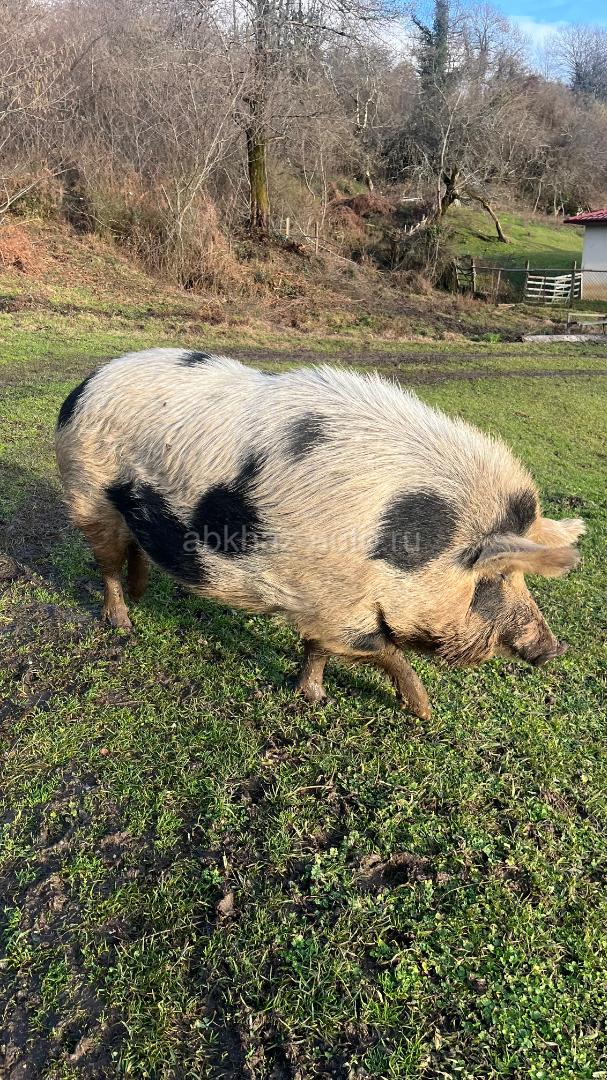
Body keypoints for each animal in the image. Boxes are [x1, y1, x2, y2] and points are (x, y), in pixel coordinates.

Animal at [55, 348, 585, 719]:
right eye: (494, 578)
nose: (553, 648)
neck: (398, 546)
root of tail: (84, 386)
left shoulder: (325, 600)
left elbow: (317, 648)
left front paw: (313, 698)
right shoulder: (337, 604)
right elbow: (381, 650)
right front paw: (425, 712)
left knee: (133, 550)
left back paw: (141, 596)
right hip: (88, 494)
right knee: (106, 562)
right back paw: (123, 624)